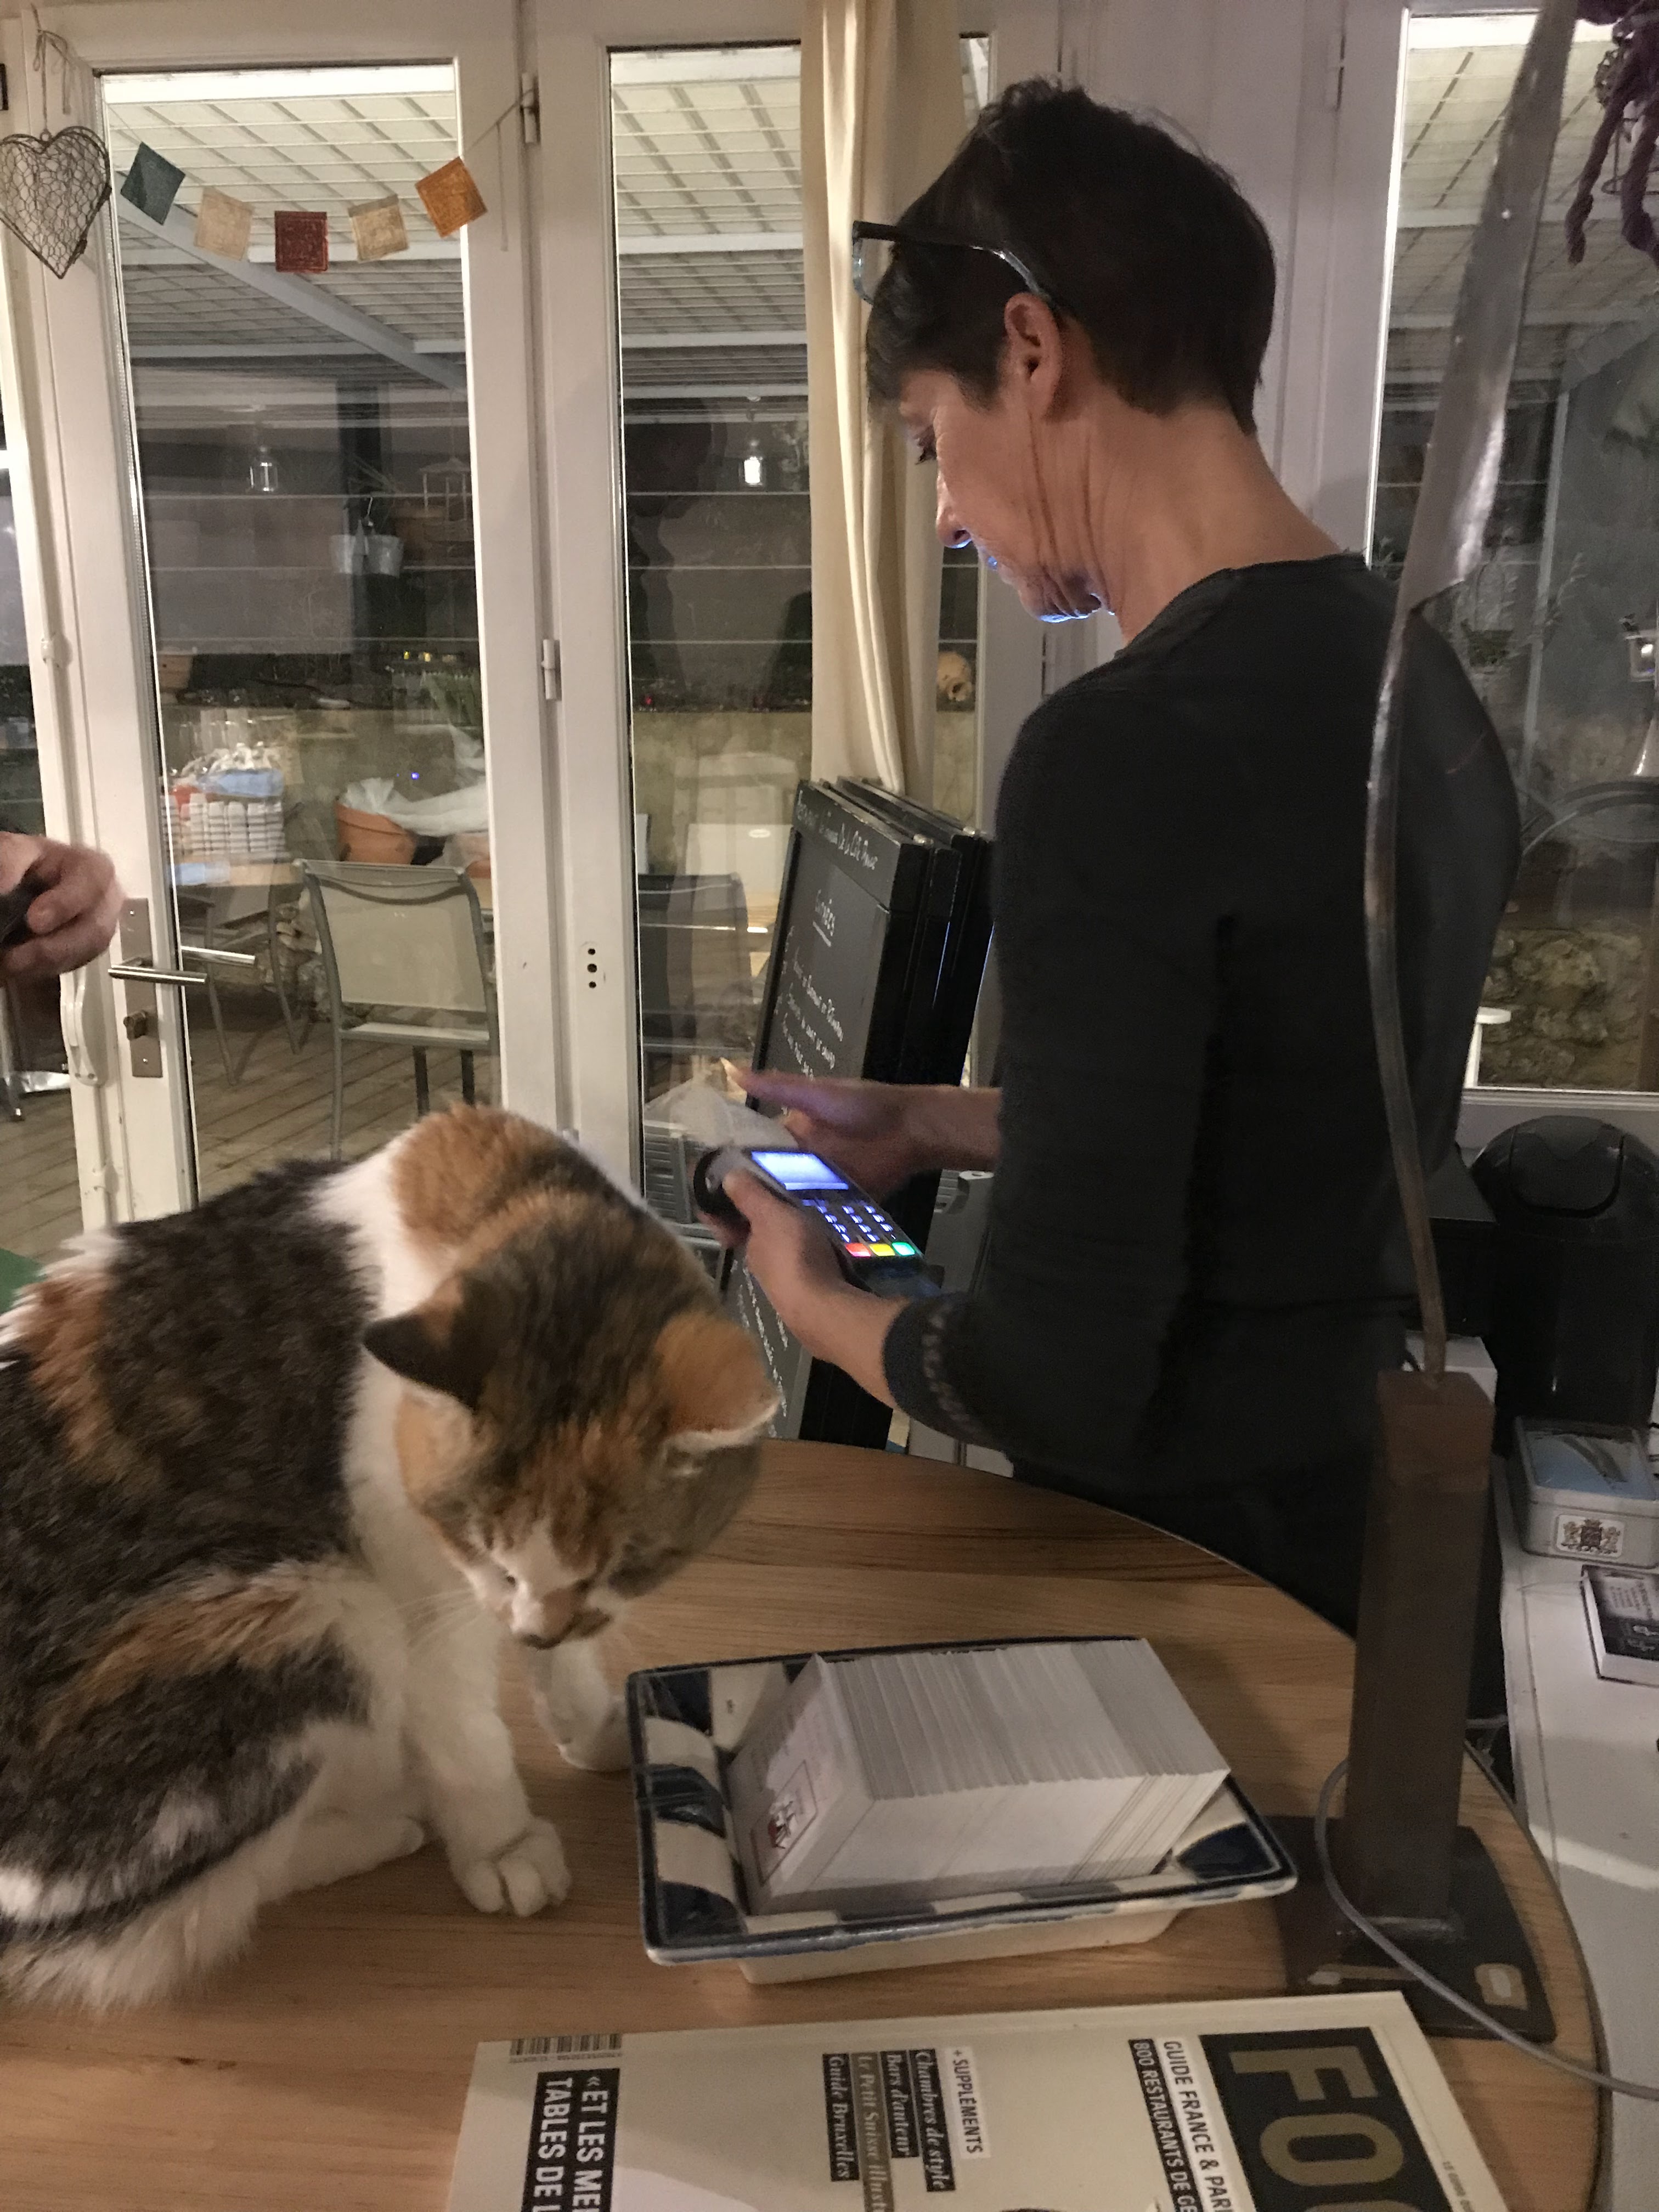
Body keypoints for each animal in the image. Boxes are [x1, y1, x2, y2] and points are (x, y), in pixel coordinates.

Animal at [0, 1106, 778, 2009]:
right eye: (476, 1539)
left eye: (622, 1565)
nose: (533, 1629)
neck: (507, 1199)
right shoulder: (423, 1587)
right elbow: (465, 1731)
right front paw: (501, 1844)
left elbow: (571, 1663)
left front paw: (596, 1726)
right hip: (313, 1604)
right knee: (202, 1901)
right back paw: (391, 1820)